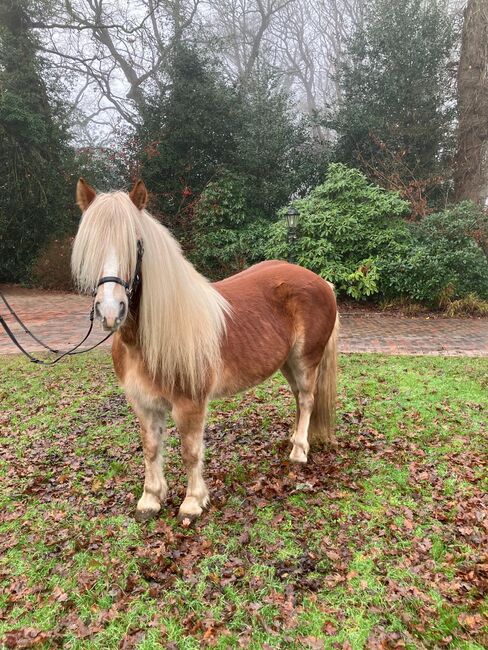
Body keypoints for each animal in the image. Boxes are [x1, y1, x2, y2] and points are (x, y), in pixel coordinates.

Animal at [72, 177, 340, 520]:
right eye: (89, 246)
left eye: (137, 245)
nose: (109, 312)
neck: (148, 338)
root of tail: (321, 282)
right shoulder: (143, 403)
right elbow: (151, 448)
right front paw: (151, 498)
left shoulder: (190, 404)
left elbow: (190, 451)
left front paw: (192, 502)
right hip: (287, 363)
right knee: (298, 398)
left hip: (306, 361)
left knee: (306, 400)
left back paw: (298, 452)